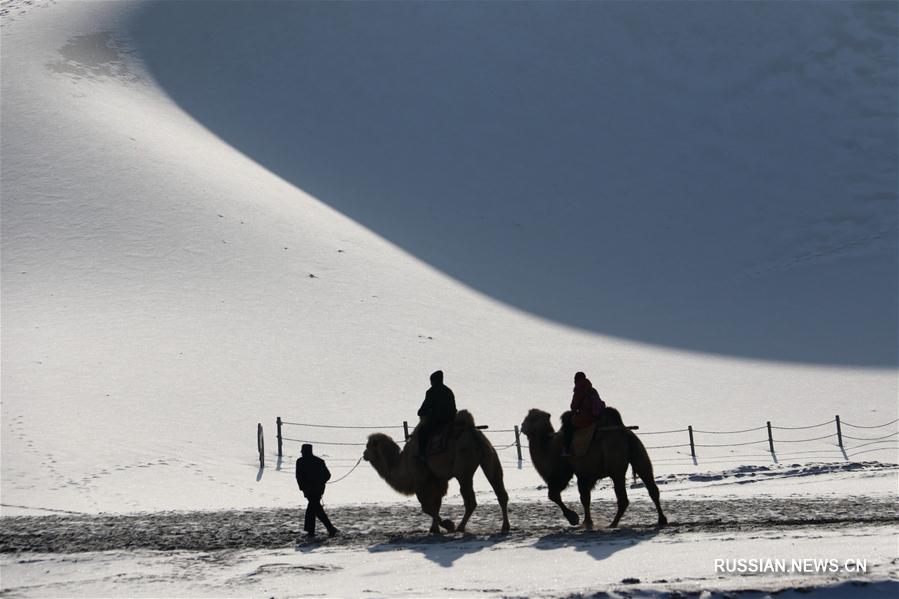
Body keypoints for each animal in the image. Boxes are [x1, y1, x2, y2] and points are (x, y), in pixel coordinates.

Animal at [362, 412, 510, 536]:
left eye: (368, 446)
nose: (364, 454)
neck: (401, 463)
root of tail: (473, 432)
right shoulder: (438, 480)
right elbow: (436, 504)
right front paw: (434, 529)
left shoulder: (420, 479)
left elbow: (426, 506)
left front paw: (448, 525)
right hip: (490, 456)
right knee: (499, 489)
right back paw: (505, 527)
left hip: (463, 468)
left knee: (470, 500)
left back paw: (460, 527)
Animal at [520, 408, 668, 528]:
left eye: (530, 419)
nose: (521, 427)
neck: (548, 446)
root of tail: (625, 433)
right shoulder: (585, 474)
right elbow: (585, 498)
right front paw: (587, 522)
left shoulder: (564, 470)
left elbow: (554, 495)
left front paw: (575, 519)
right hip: (639, 454)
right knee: (652, 487)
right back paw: (662, 520)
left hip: (616, 467)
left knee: (623, 498)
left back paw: (613, 524)